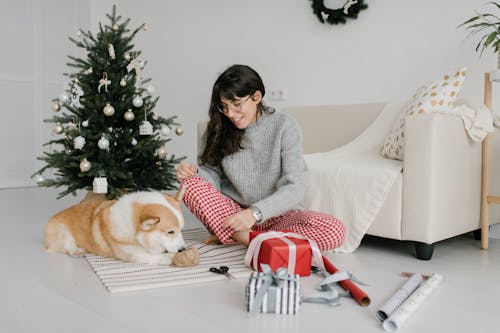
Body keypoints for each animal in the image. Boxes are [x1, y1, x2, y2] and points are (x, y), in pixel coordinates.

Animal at [45, 188, 188, 264]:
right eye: (170, 232)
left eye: (181, 230)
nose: (183, 250)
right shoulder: (133, 254)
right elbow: (154, 256)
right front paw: (171, 257)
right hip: (62, 231)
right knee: (67, 246)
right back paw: (77, 251)